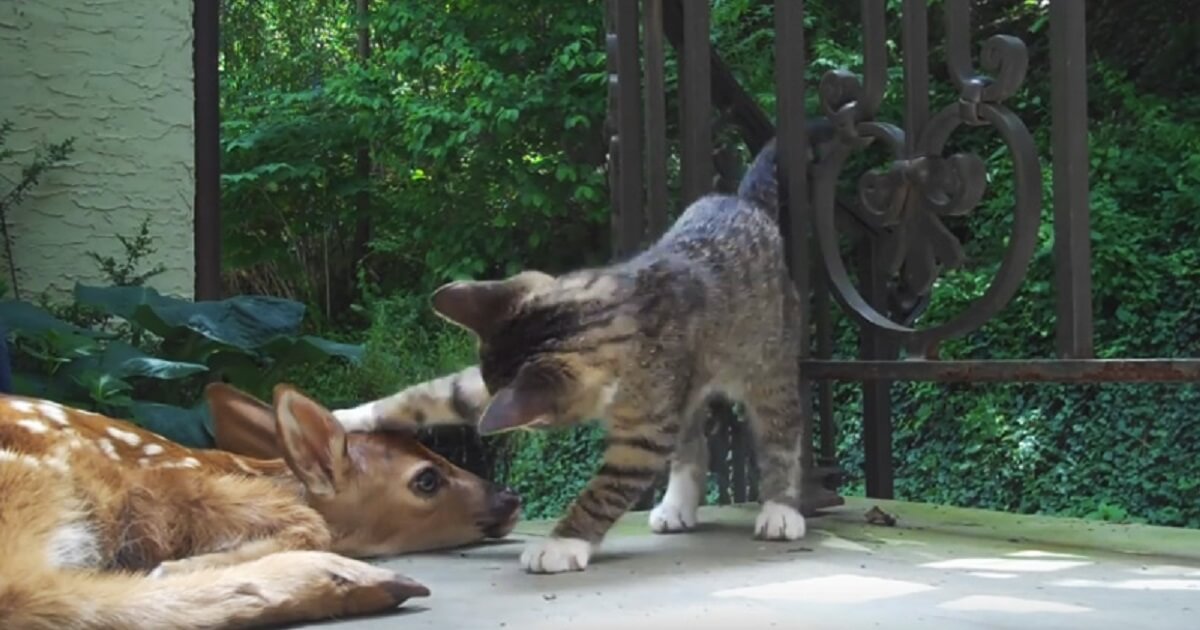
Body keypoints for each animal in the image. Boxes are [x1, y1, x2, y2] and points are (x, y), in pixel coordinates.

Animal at [333, 139, 811, 571]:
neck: (618, 311)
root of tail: (744, 203)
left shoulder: (644, 431)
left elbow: (604, 491)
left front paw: (562, 543)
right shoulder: (490, 378)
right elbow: (435, 395)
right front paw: (346, 417)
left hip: (769, 362)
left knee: (781, 432)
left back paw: (780, 509)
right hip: (687, 389)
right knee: (692, 439)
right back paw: (677, 506)